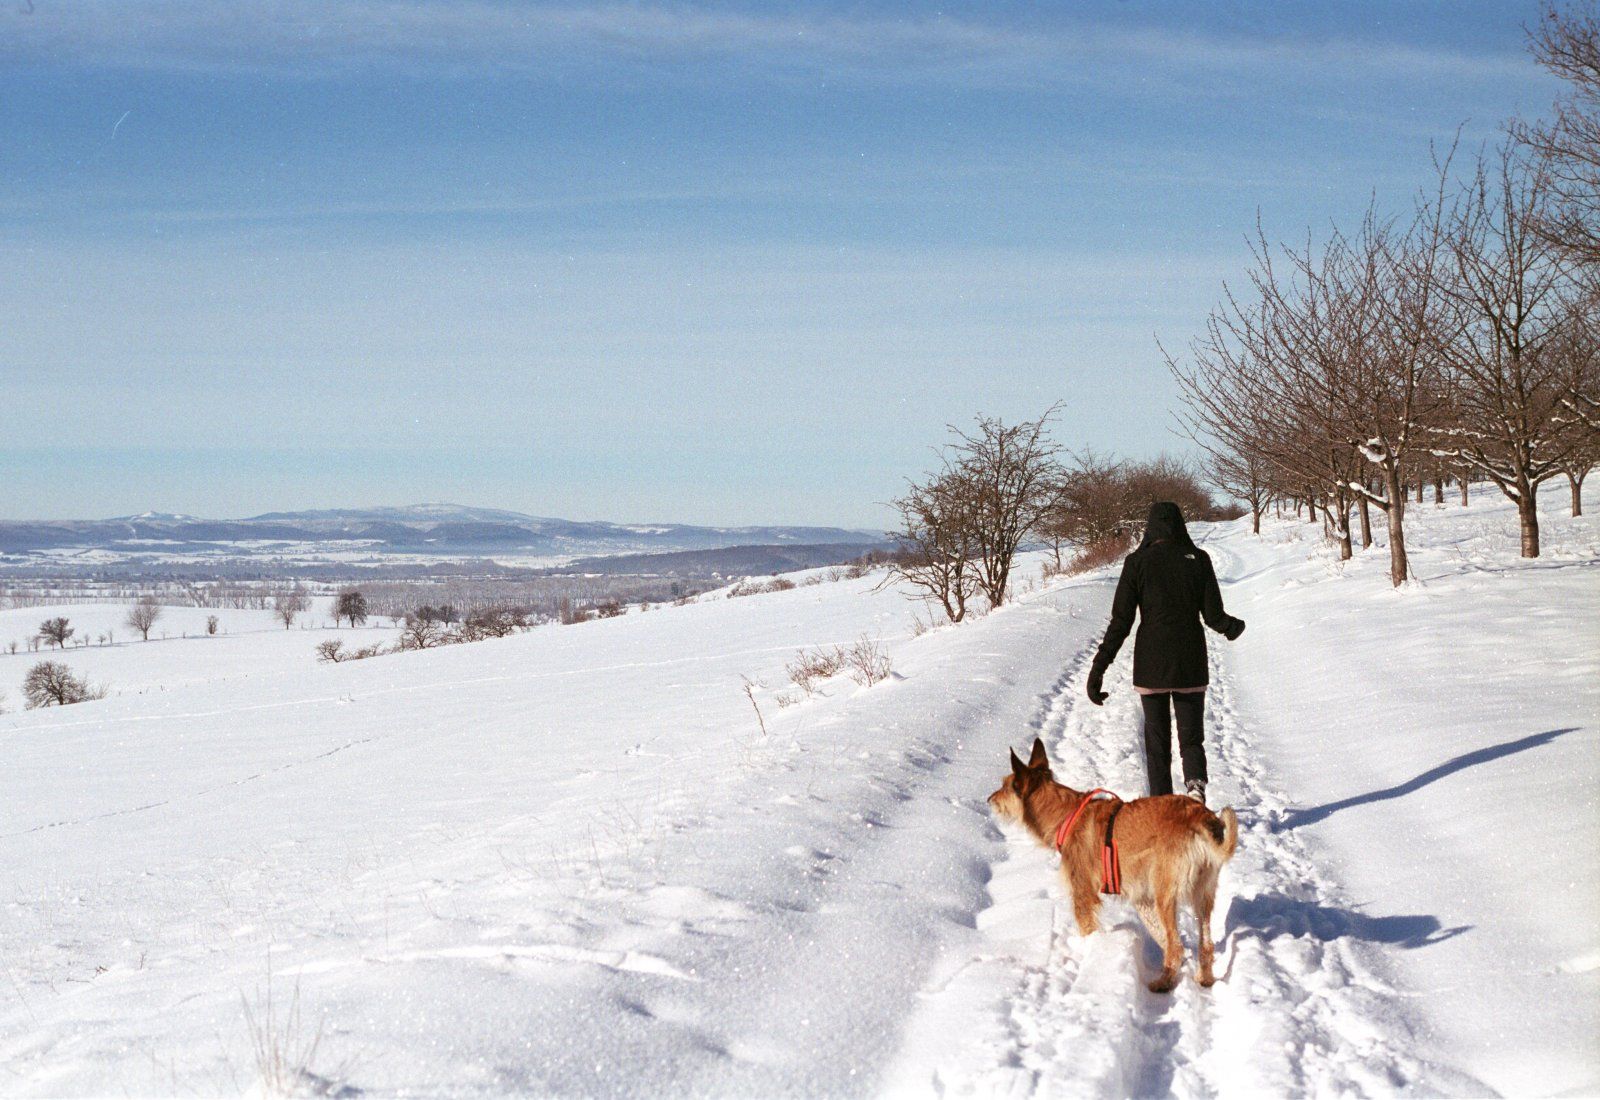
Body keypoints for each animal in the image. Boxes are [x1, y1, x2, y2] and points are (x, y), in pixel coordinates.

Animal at [985, 735, 1235, 991]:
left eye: (1005, 786)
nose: (989, 799)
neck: (1065, 814)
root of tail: (1200, 818)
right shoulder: (1141, 898)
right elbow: (1159, 935)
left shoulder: (1083, 892)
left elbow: (1087, 927)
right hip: (1202, 894)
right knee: (1204, 944)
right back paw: (1204, 978)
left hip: (1165, 894)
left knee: (1176, 946)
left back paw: (1163, 983)